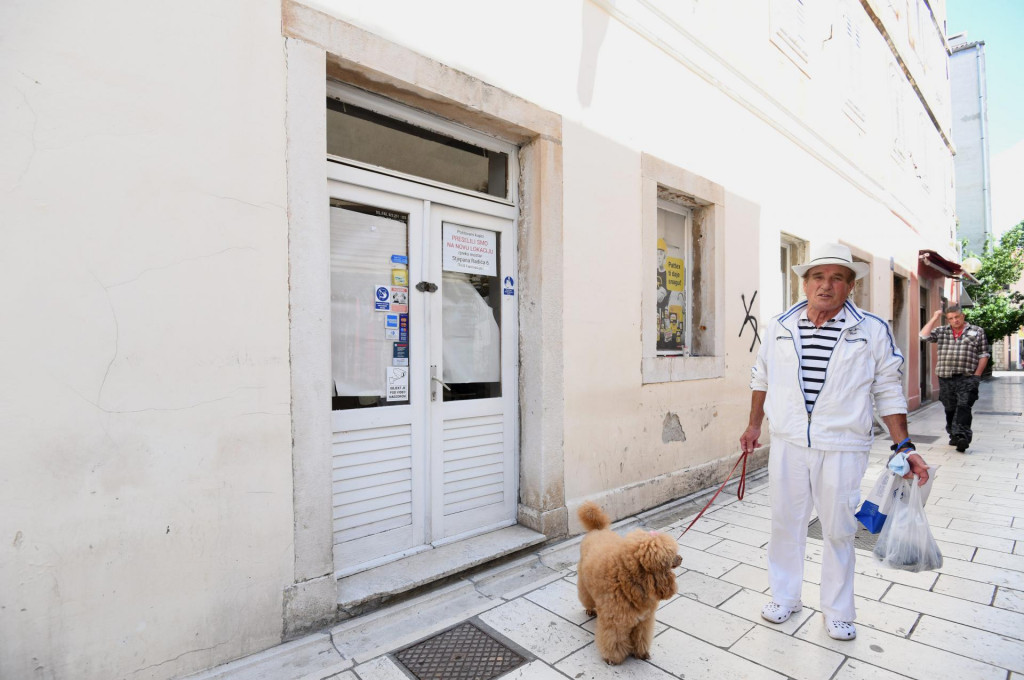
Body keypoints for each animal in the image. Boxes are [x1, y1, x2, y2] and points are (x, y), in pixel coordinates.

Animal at [577, 499, 679, 663]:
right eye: (671, 555)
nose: (681, 558)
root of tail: (597, 529)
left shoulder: (644, 620)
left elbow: (641, 637)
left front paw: (641, 653)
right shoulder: (615, 621)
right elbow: (614, 640)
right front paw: (613, 658)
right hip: (583, 583)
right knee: (586, 598)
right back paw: (590, 610)